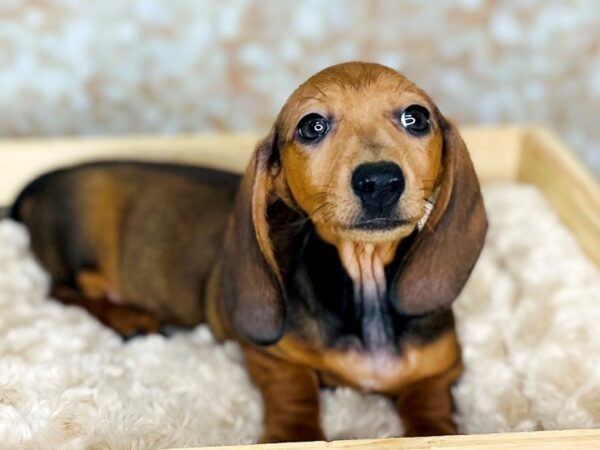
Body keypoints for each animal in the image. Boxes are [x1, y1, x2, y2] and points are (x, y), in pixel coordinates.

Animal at [11, 62, 486, 442]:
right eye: (312, 126)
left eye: (416, 117)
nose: (380, 182)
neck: (362, 279)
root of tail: (46, 180)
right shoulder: (267, 352)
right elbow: (293, 387)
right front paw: (295, 434)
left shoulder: (442, 368)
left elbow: (429, 399)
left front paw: (435, 430)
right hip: (81, 250)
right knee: (62, 291)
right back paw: (130, 318)